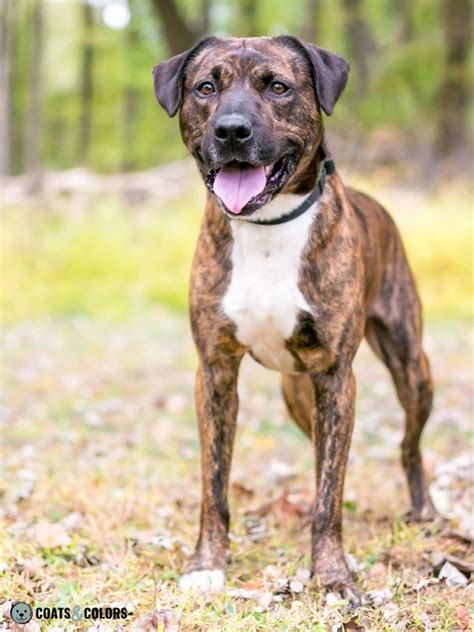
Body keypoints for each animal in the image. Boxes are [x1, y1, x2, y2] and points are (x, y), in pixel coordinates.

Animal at [153, 37, 440, 604]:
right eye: (206, 87)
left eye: (278, 86)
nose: (231, 130)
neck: (266, 226)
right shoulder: (215, 372)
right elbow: (214, 483)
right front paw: (207, 564)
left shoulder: (335, 375)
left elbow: (331, 496)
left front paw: (332, 576)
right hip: (296, 393)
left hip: (411, 366)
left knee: (407, 445)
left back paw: (423, 510)